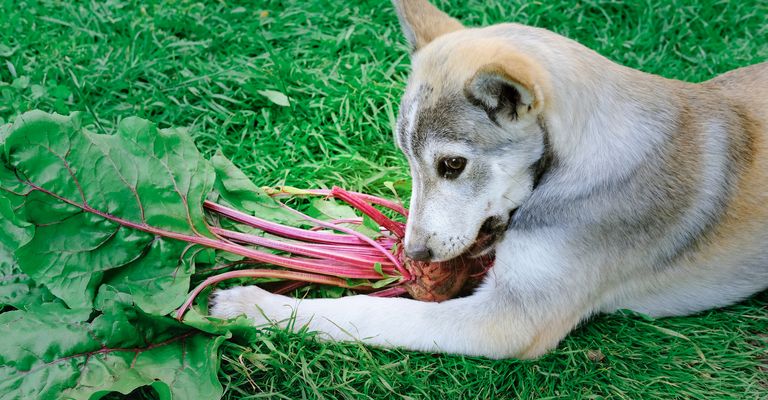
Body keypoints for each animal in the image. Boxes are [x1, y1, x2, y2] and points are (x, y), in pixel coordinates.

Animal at [213, 0, 768, 360]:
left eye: (452, 165)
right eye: (407, 159)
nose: (413, 254)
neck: (578, 162)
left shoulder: (508, 320)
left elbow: (368, 312)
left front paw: (253, 305)